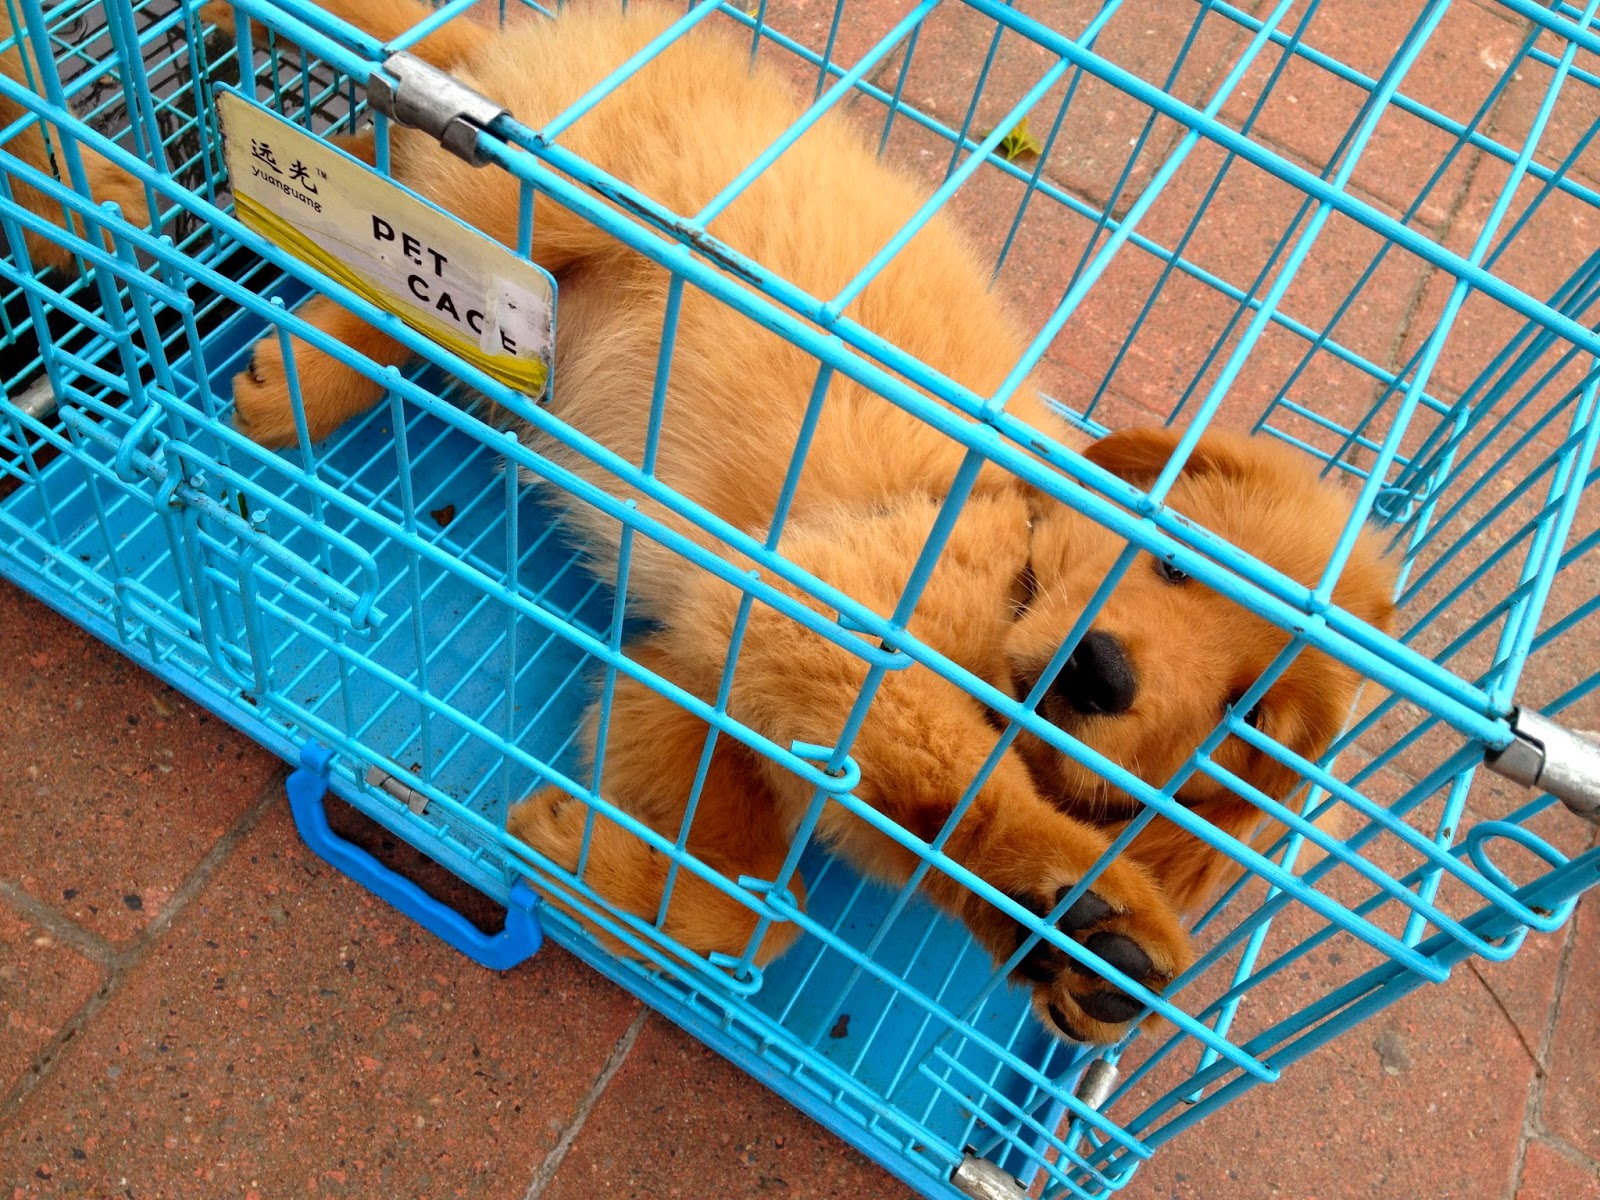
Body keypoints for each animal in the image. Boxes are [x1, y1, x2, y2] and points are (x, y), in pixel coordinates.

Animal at [6, 0, 1398, 1044]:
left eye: (1246, 725)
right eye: (1167, 562)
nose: (1098, 674)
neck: (1008, 572)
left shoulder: (697, 672)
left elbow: (739, 899)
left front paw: (586, 862)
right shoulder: (828, 626)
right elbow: (929, 811)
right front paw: (1077, 902)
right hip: (553, 196)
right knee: (415, 230)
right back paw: (298, 372)